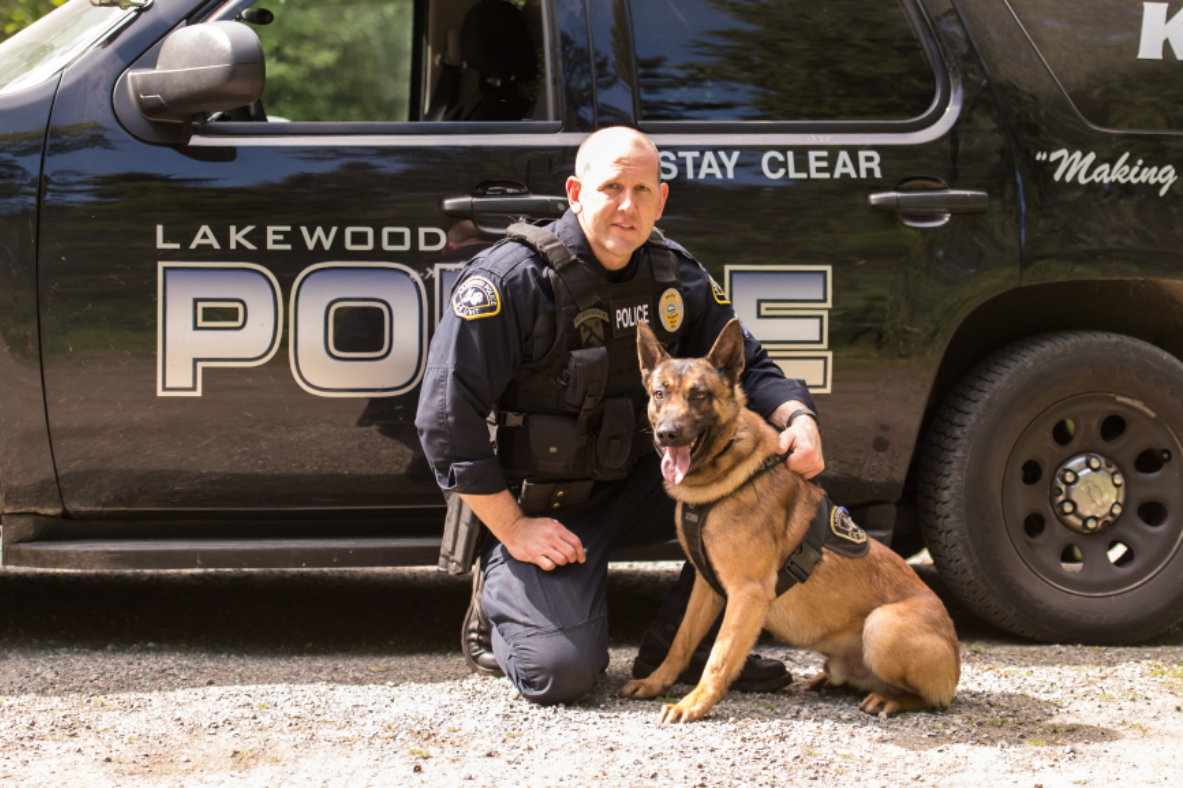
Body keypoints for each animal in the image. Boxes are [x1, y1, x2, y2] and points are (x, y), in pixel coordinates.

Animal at [619, 317, 960, 719]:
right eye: (659, 394)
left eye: (698, 395)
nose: (666, 434)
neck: (730, 472)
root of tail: (956, 655)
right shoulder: (707, 587)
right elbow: (681, 641)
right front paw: (656, 683)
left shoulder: (747, 593)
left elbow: (719, 655)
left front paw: (694, 703)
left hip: (883, 625)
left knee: (930, 699)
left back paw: (888, 699)